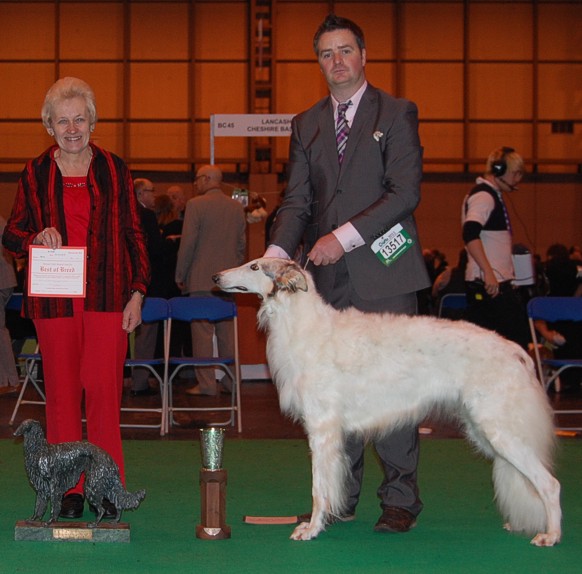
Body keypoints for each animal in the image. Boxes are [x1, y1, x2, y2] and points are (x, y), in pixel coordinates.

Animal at [14, 420, 146, 528]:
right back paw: (115, 522)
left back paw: (94, 524)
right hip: (106, 485)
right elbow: (38, 507)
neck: (39, 450)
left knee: (102, 509)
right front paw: (33, 520)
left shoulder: (53, 486)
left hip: (91, 486)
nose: (14, 433)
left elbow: (53, 507)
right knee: (118, 504)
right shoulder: (41, 488)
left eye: (23, 425)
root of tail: (108, 457)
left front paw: (50, 521)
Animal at [213, 258, 560, 548]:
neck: (304, 325)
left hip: (500, 430)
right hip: (486, 431)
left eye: (255, 266)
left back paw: (551, 535)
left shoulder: (322, 430)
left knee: (550, 484)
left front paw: (311, 529)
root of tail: (516, 351)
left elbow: (318, 490)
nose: (216, 277)